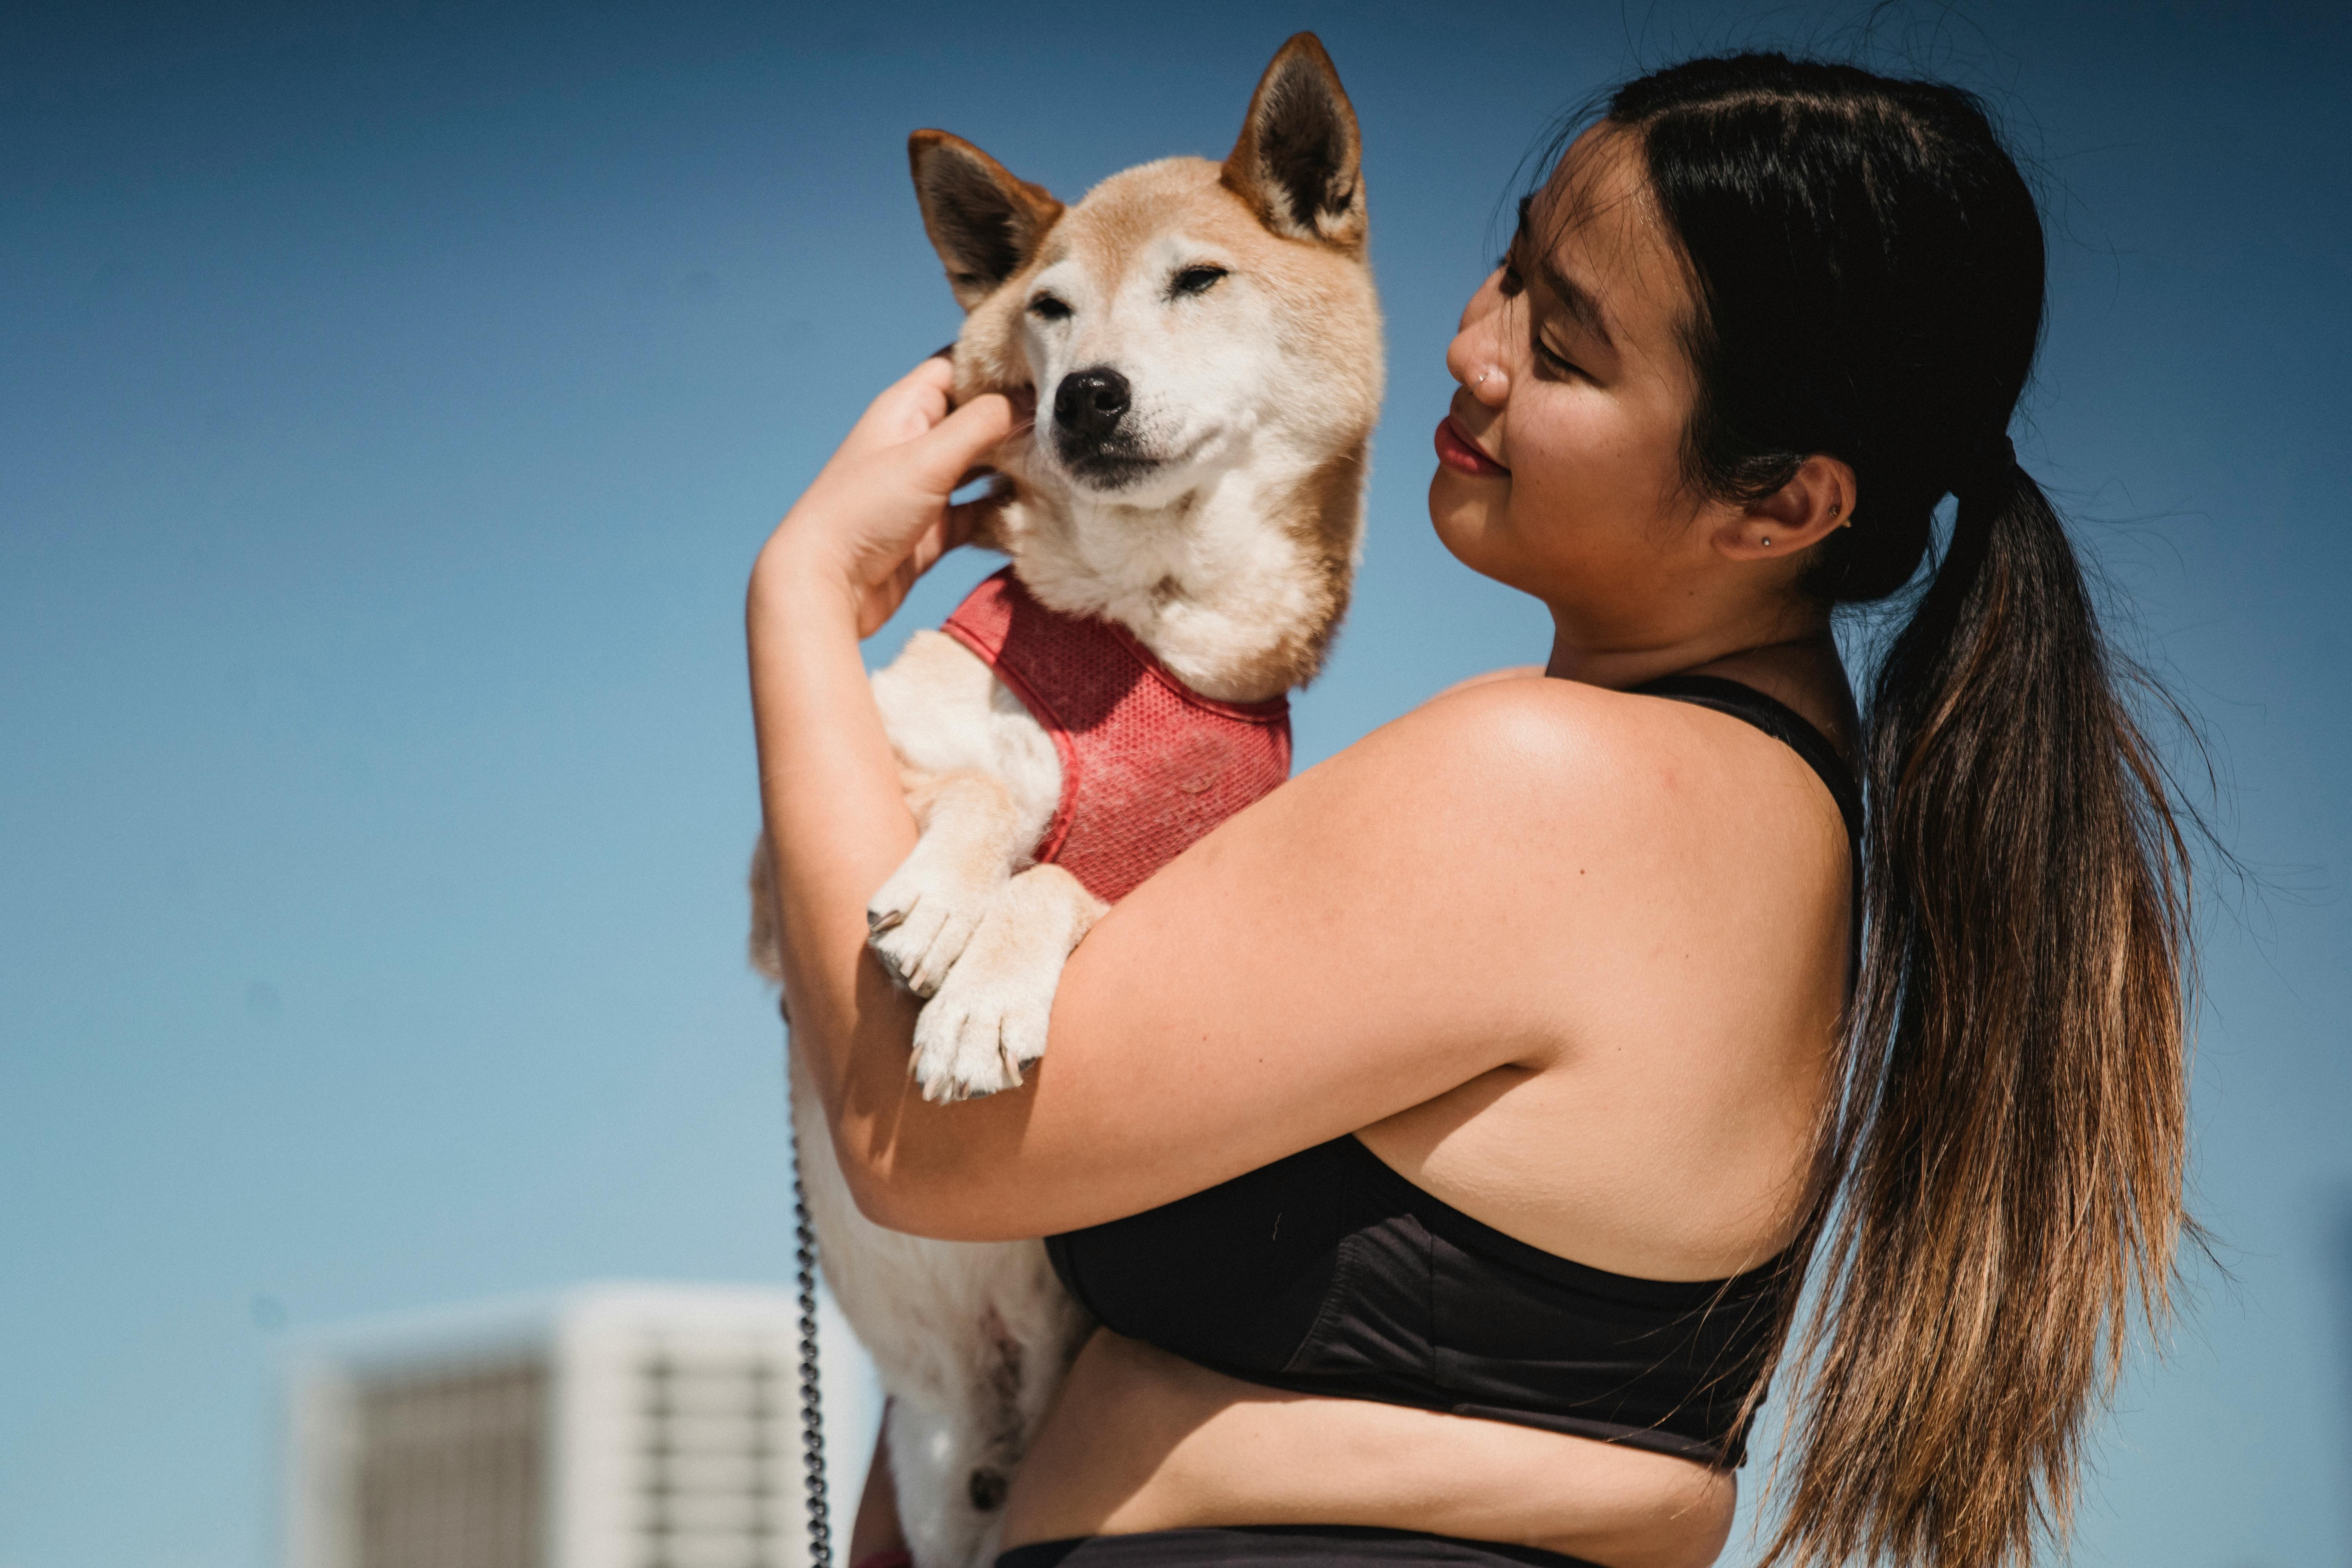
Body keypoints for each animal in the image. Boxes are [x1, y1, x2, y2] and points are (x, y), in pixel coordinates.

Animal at [748, 36, 1374, 1568]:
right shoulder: (808, 830)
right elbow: (984, 784)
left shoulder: (1212, 856)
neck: (1148, 621)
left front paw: (984, 988)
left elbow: (1077, 872)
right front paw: (941, 902)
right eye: (1047, 305)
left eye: (1197, 281)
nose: (1083, 391)